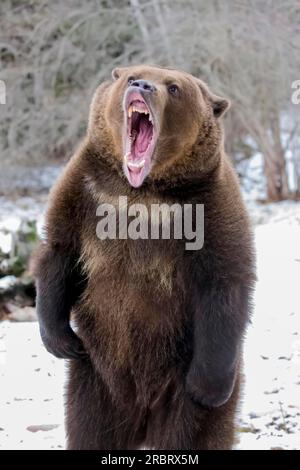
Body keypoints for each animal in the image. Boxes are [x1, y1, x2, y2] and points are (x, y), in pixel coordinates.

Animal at [34, 64, 255, 450]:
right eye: (130, 75)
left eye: (174, 87)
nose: (143, 86)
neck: (142, 190)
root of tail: (143, 418)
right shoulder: (86, 192)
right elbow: (60, 252)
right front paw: (62, 341)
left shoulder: (210, 207)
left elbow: (225, 280)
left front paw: (207, 387)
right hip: (96, 382)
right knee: (89, 429)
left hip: (175, 381)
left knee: (191, 435)